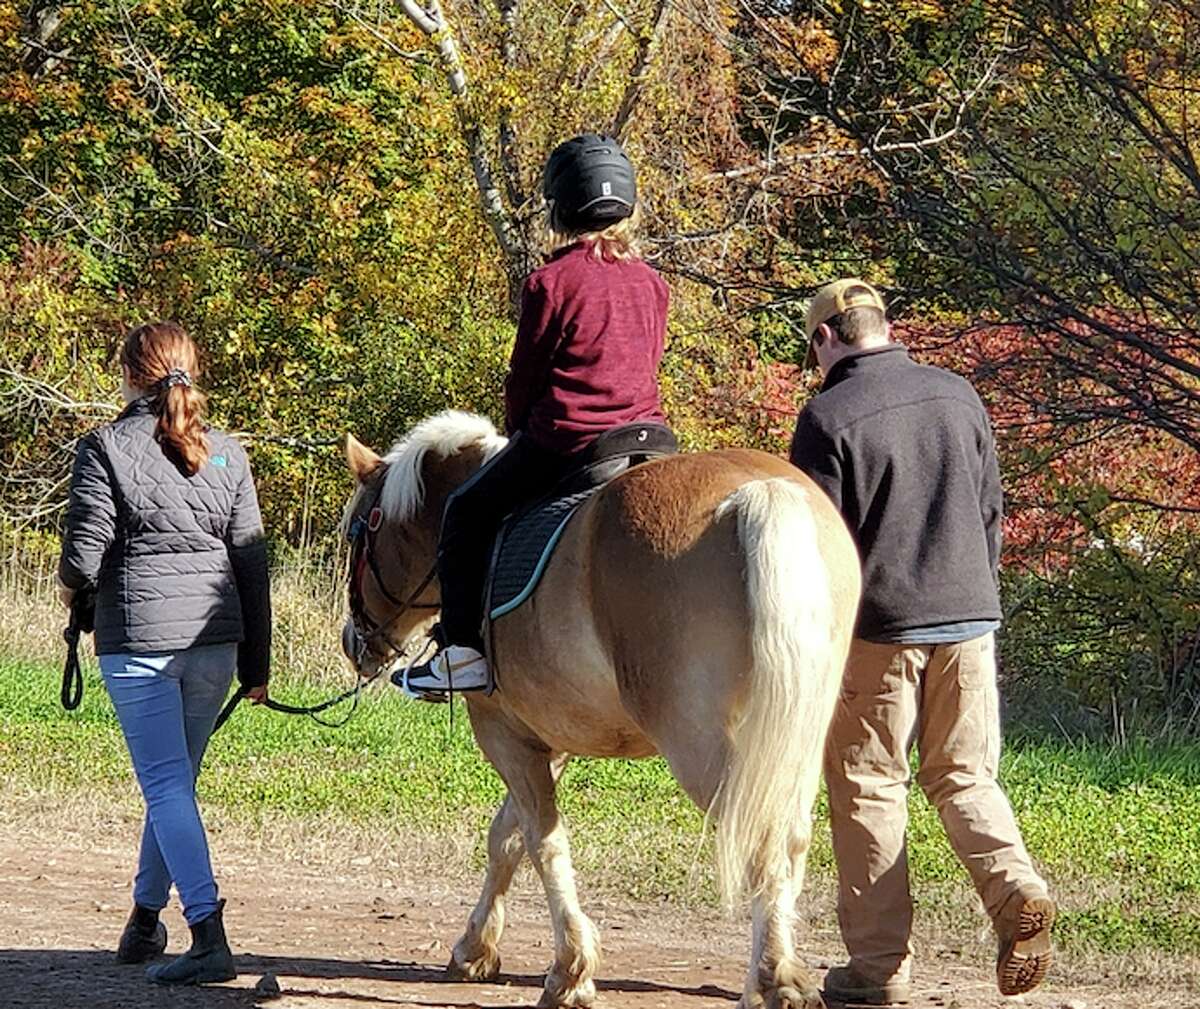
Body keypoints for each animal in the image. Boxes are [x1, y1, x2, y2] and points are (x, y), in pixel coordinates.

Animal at [339, 411, 860, 1009]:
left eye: (358, 534)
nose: (354, 642)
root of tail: (760, 490)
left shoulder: (501, 732)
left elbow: (542, 842)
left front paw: (570, 969)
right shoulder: (547, 739)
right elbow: (507, 837)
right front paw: (476, 948)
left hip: (702, 743)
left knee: (759, 838)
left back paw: (775, 978)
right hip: (794, 738)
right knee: (791, 836)